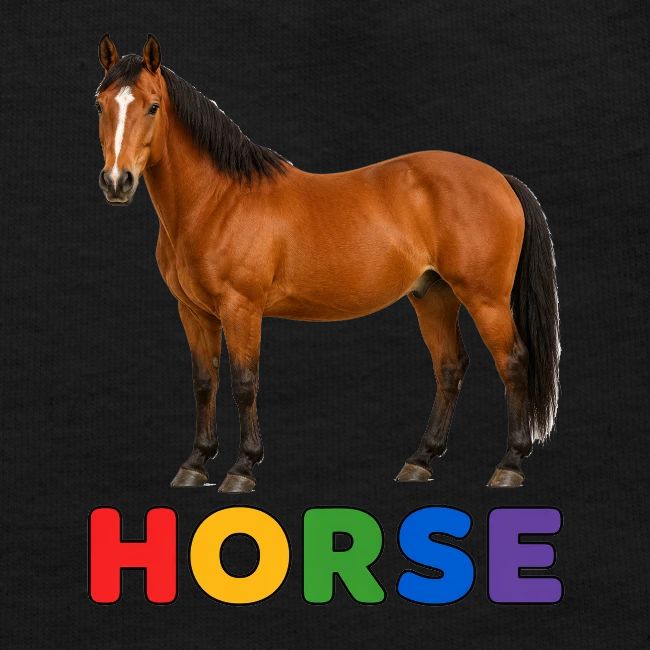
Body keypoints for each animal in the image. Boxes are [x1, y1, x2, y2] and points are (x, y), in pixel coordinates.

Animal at [95, 34, 560, 493]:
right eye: (100, 104)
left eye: (153, 106)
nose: (117, 182)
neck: (218, 201)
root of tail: (500, 179)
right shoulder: (194, 312)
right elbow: (204, 382)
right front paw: (195, 463)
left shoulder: (241, 308)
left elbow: (244, 384)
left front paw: (242, 468)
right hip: (433, 296)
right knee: (449, 367)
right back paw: (420, 460)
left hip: (486, 300)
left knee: (513, 363)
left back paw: (509, 465)